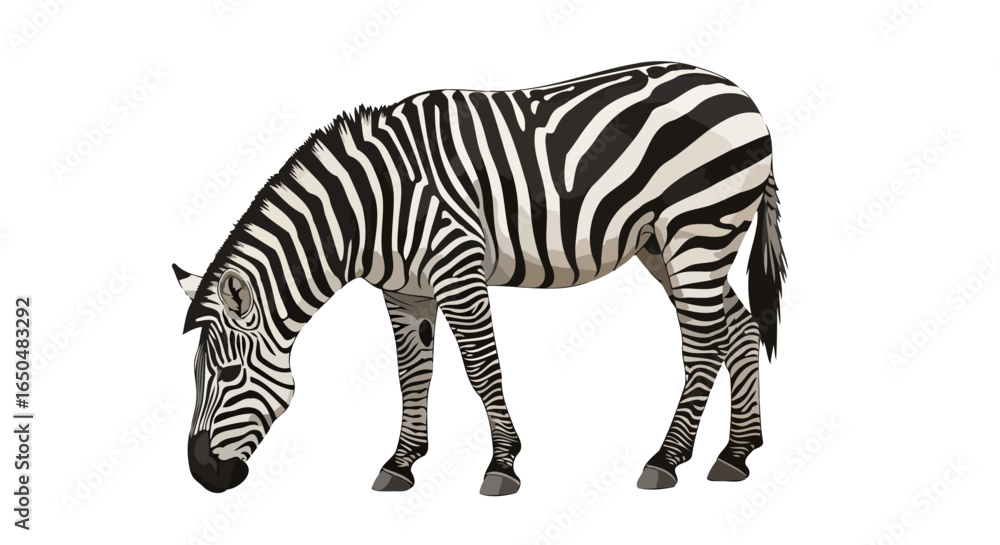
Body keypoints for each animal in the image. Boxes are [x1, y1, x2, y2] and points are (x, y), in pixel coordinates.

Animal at [173, 61, 786, 496]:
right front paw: (401, 464)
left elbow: (480, 369)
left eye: (226, 374)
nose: (203, 476)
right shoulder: (405, 291)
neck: (370, 209)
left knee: (704, 343)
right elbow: (413, 376)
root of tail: (741, 94)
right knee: (740, 328)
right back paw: (736, 454)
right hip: (669, 243)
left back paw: (666, 460)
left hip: (698, 227)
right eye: (197, 374)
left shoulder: (457, 268)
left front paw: (503, 465)